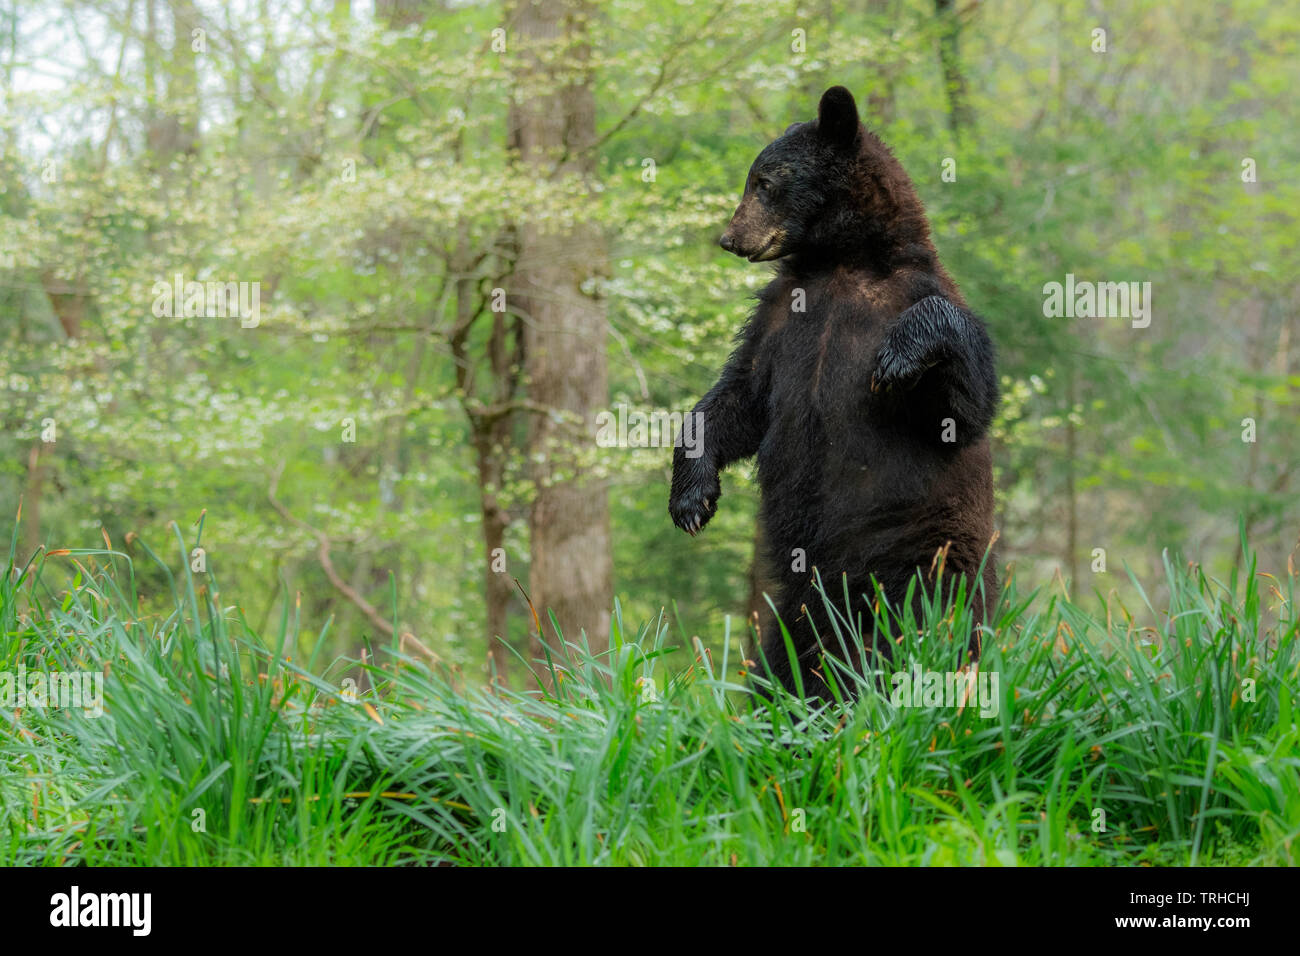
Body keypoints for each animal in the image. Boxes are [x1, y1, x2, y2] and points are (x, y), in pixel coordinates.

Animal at [670, 85, 993, 702]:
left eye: (765, 182)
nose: (729, 238)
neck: (841, 262)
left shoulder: (909, 293)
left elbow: (960, 410)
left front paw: (899, 357)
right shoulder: (778, 319)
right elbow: (738, 399)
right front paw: (692, 499)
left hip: (921, 551)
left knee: (925, 624)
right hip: (795, 597)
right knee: (785, 651)